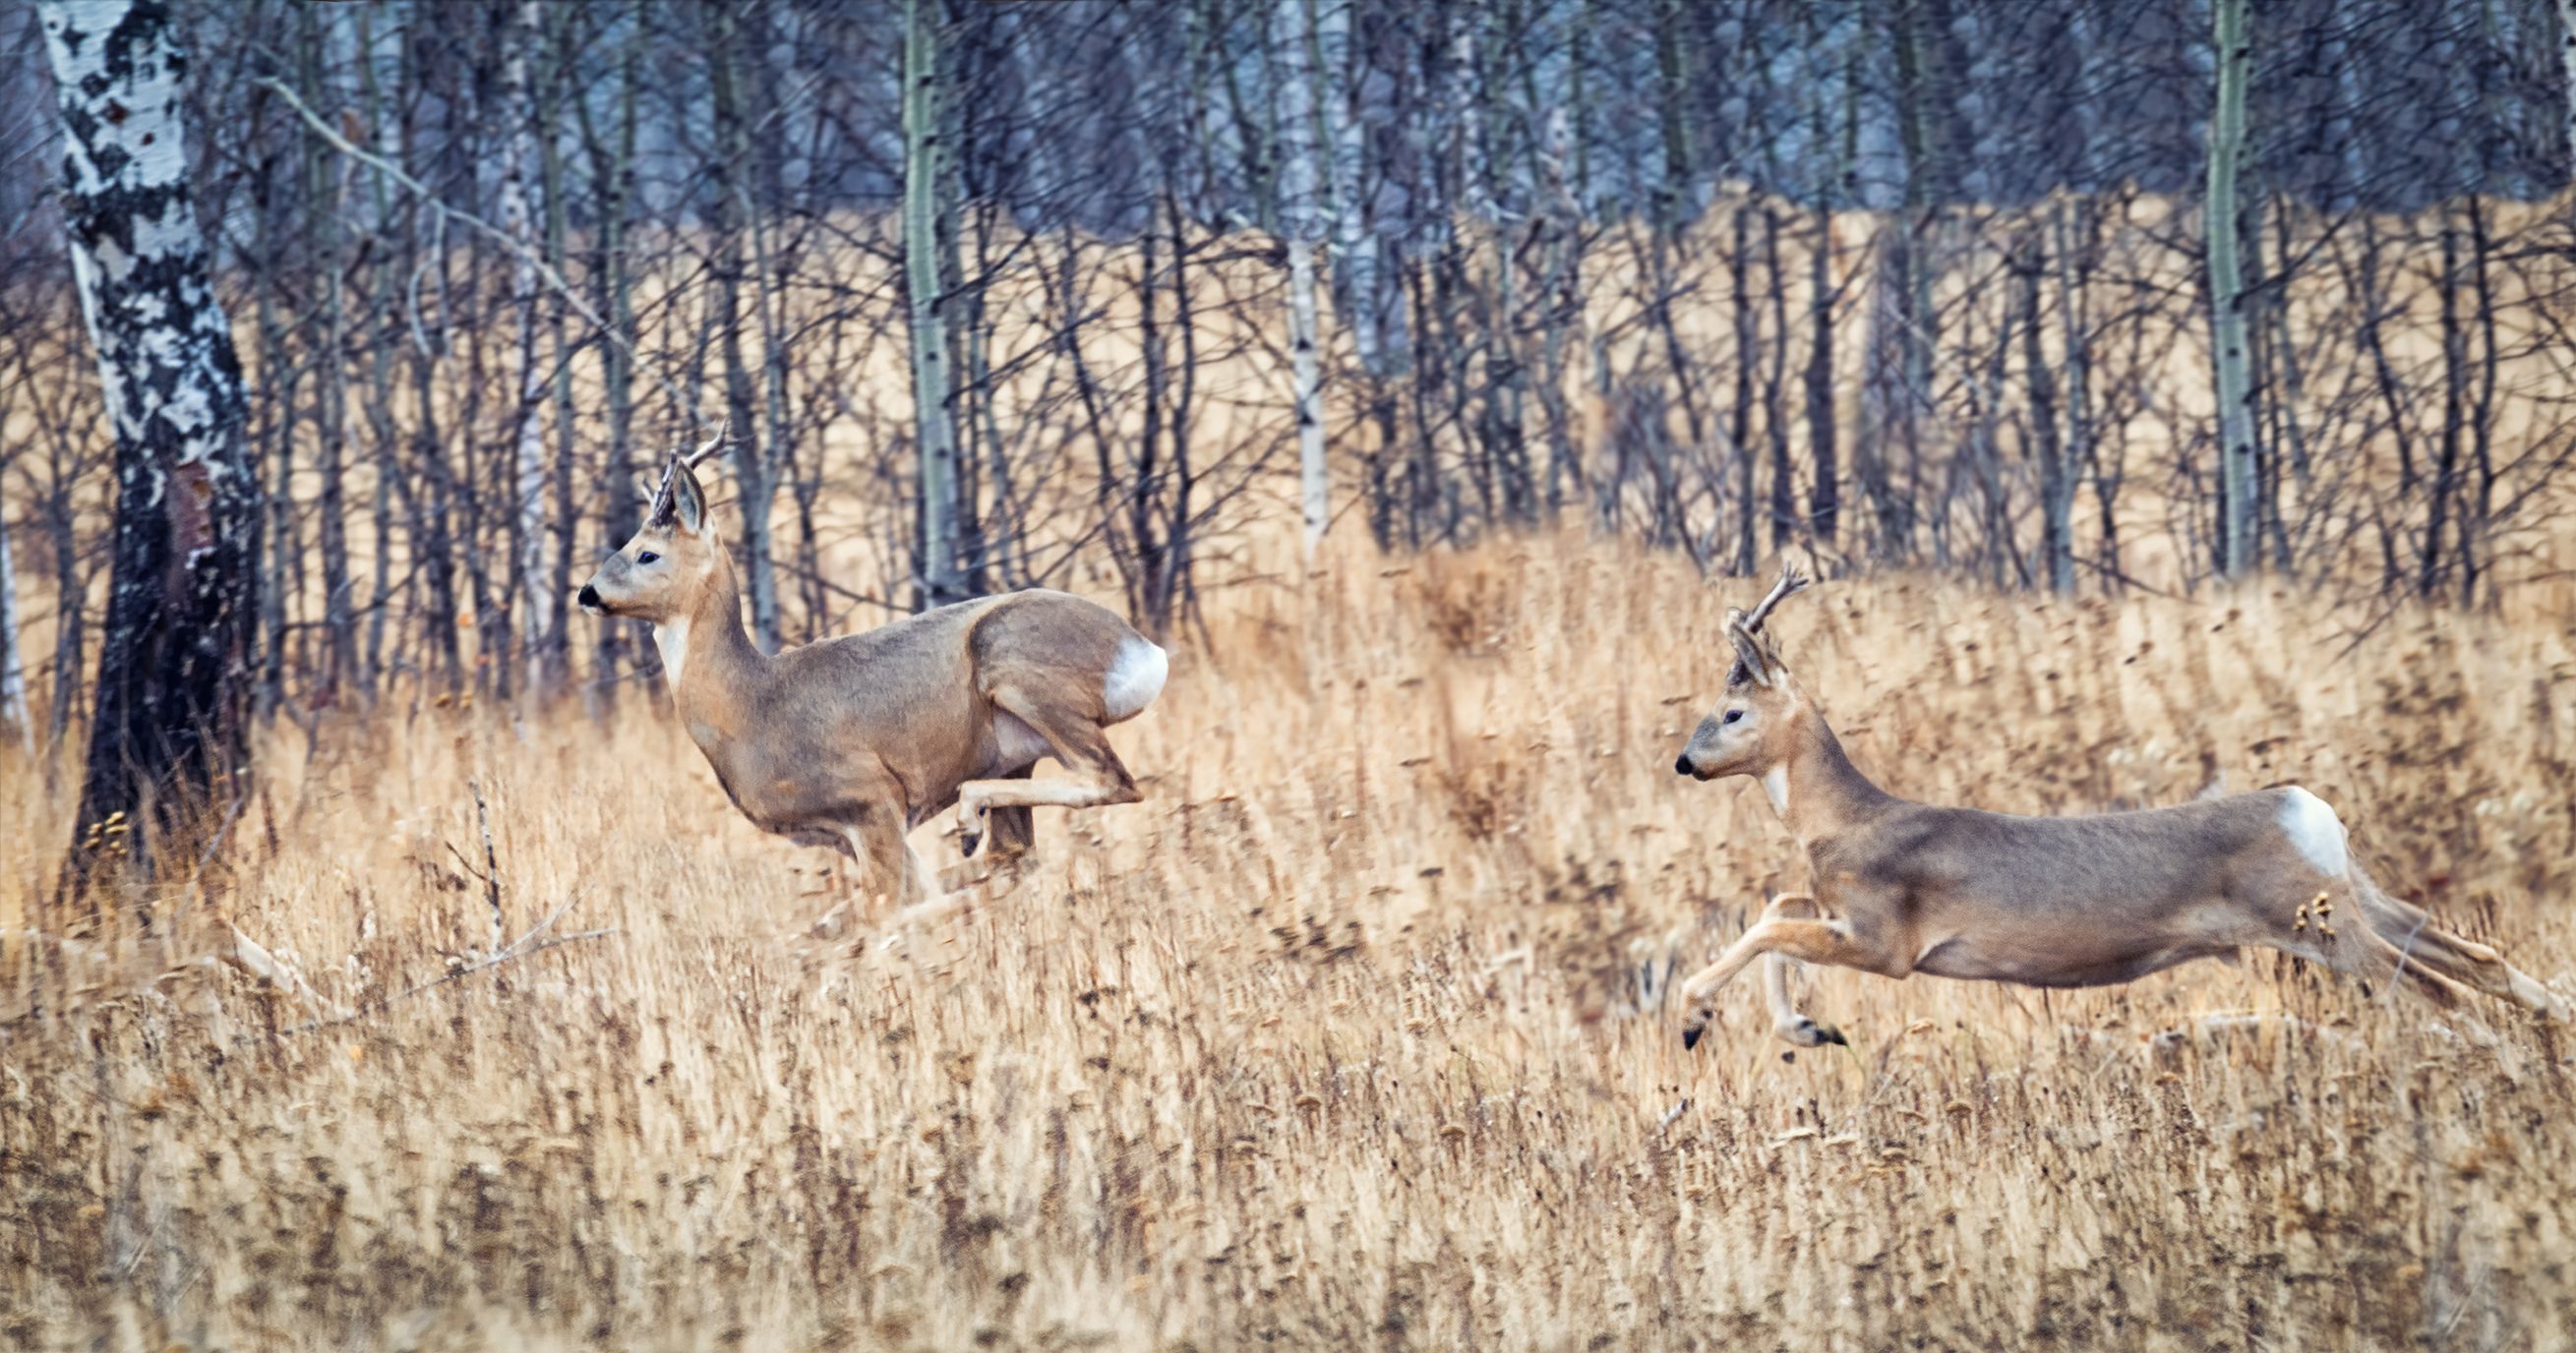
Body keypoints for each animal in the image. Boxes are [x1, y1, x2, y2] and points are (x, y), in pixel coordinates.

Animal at [576, 433, 1169, 912]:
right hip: (1016, 754)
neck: (751, 706)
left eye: (647, 553)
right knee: (1014, 852)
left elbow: (887, 910)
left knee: (1109, 781)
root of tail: (1145, 650)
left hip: (1019, 670)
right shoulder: (853, 832)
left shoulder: (871, 798)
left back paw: (967, 816)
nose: (587, 592)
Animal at [1669, 563, 2555, 1051]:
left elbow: (1768, 925)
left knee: (2441, 993)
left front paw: (1691, 1014)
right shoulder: (1843, 914)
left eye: (1732, 712)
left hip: (2310, 918)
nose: (1683, 761)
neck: (1845, 822)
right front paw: (1806, 1030)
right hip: (2350, 897)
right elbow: (1776, 907)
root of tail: (2306, 807)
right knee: (2477, 958)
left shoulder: (1887, 938)